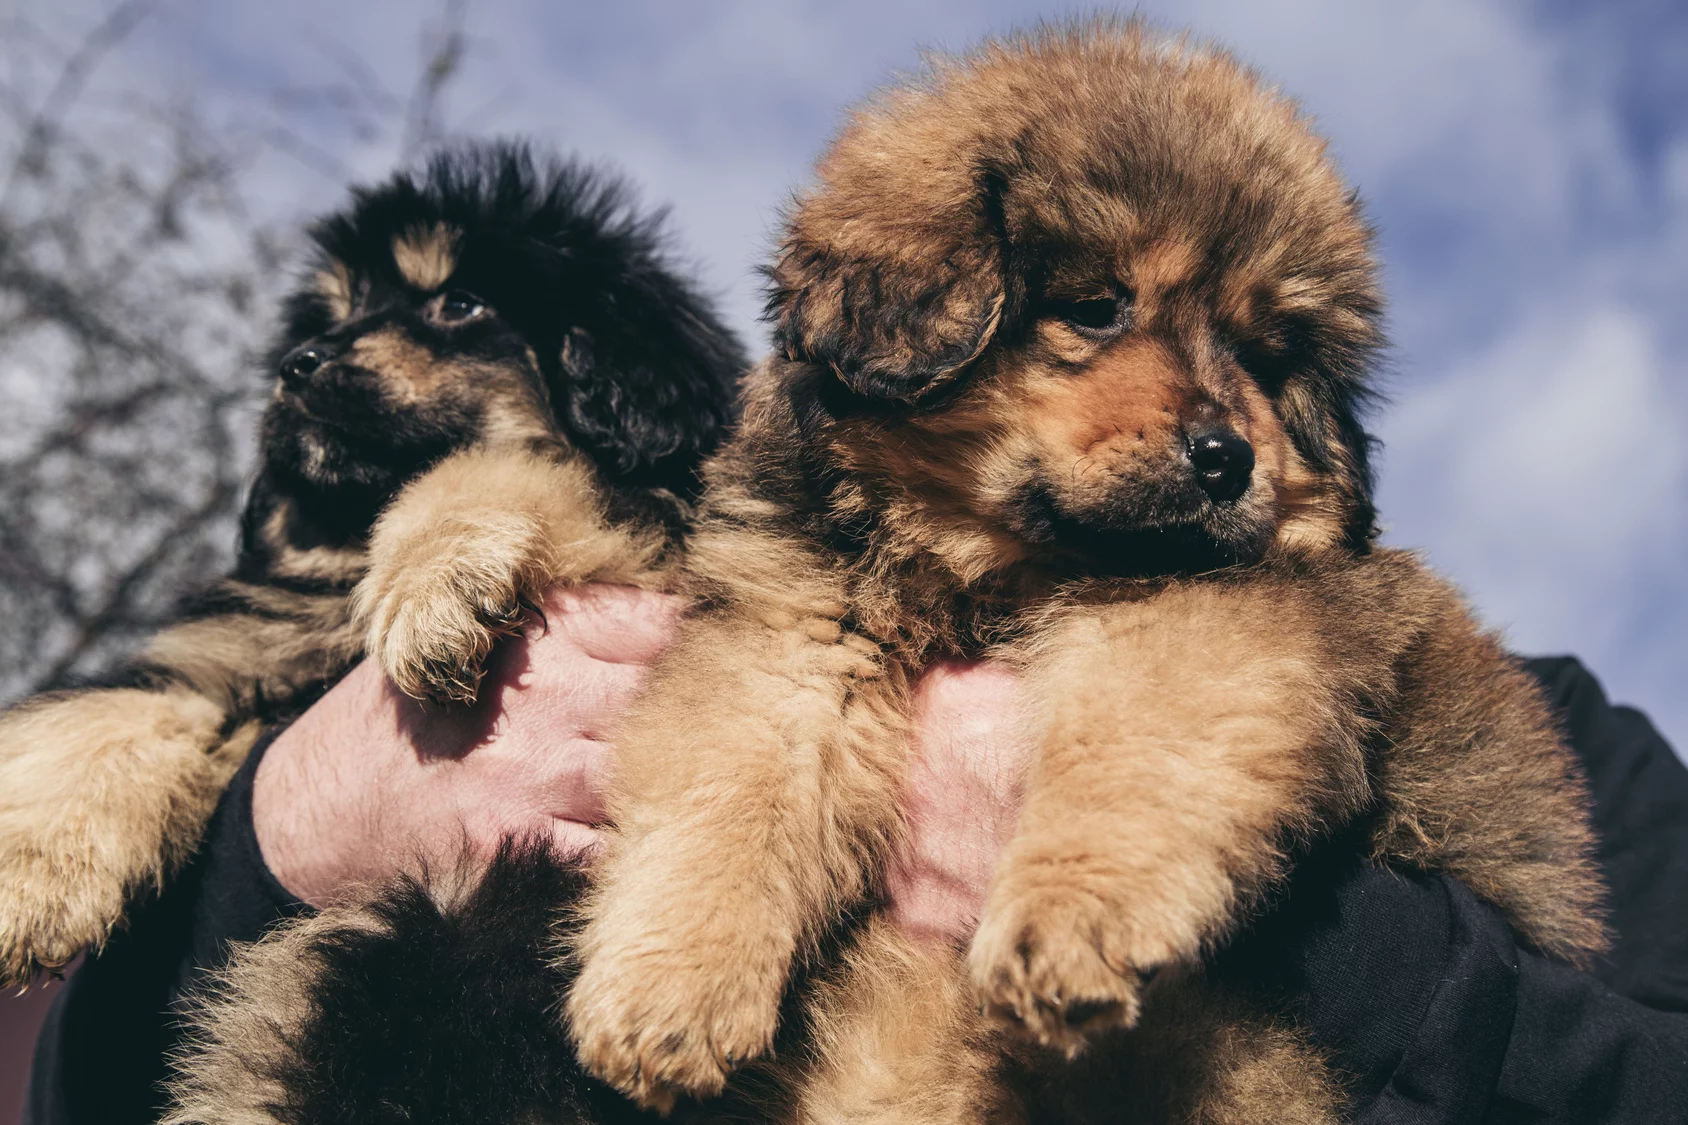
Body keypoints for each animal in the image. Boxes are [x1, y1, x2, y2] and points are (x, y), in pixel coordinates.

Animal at [557, 24, 1606, 1121]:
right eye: (1096, 308)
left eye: (1261, 355)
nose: (1227, 458)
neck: (991, 573)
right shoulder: (794, 633)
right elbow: (732, 786)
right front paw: (669, 990)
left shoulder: (1211, 621)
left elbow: (1127, 750)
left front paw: (1065, 922)